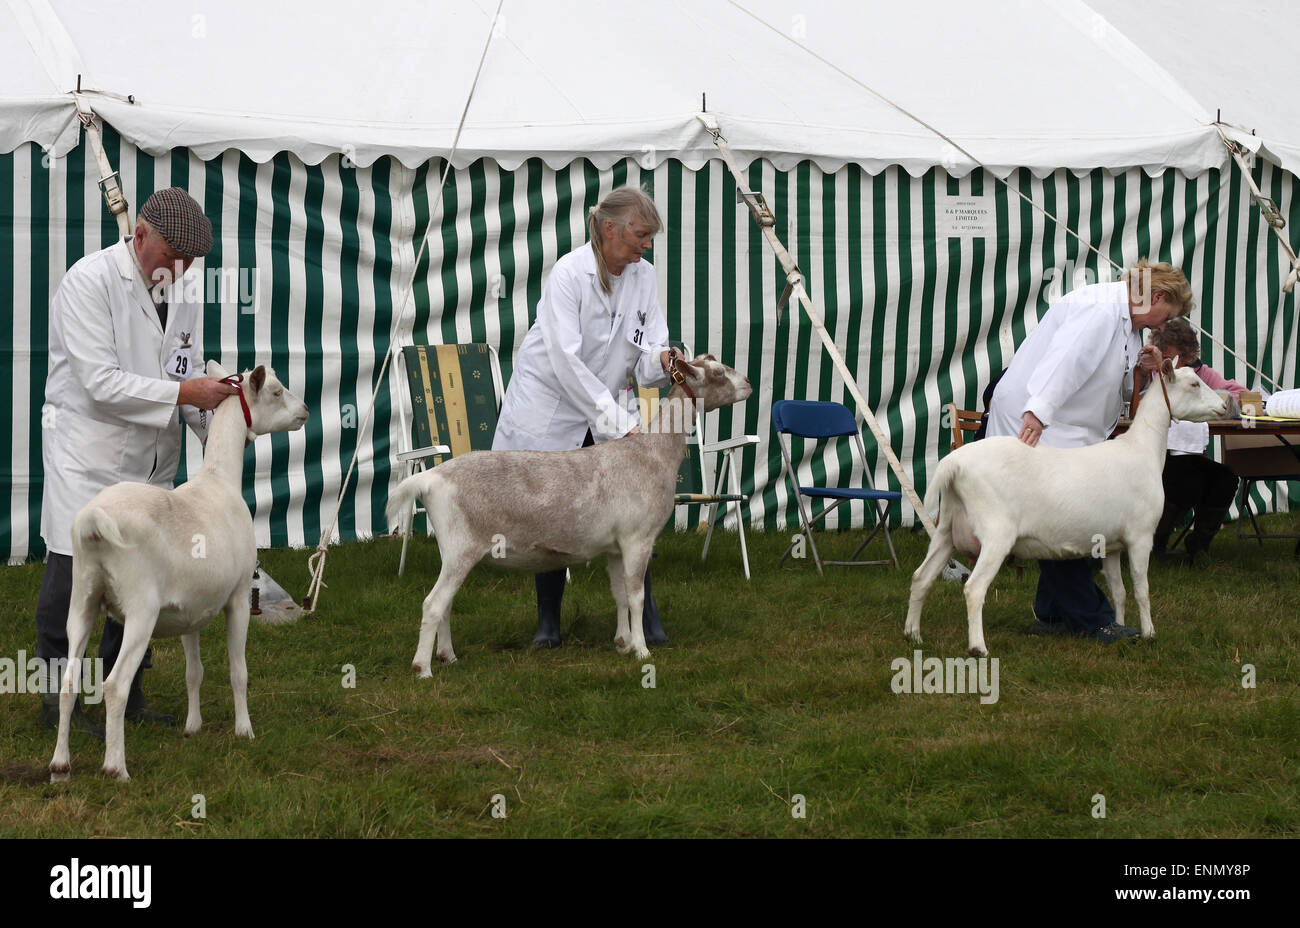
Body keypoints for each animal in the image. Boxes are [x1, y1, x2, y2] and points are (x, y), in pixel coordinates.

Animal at [49, 358, 308, 774]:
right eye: (275, 391)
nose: (305, 411)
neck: (219, 479)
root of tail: (93, 521)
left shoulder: (191, 609)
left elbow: (193, 672)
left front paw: (192, 727)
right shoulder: (239, 596)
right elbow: (238, 672)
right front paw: (245, 730)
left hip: (83, 598)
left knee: (69, 681)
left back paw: (60, 765)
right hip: (140, 609)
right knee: (115, 685)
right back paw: (115, 768)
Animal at [384, 350, 754, 670]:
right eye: (718, 374)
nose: (749, 383)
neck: (652, 454)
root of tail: (431, 478)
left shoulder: (615, 547)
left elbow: (620, 595)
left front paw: (623, 643)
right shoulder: (638, 539)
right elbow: (636, 596)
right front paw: (642, 651)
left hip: (450, 549)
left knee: (445, 604)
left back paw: (448, 656)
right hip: (461, 547)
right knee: (433, 603)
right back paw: (422, 668)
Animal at [909, 358, 1222, 655]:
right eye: (1194, 384)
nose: (1225, 404)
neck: (1142, 449)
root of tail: (954, 463)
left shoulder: (1111, 544)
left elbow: (1119, 591)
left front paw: (1119, 628)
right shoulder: (1140, 536)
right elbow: (1141, 588)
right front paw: (1149, 634)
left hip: (947, 530)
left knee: (920, 577)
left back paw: (913, 635)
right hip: (996, 533)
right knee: (974, 589)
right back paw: (978, 647)